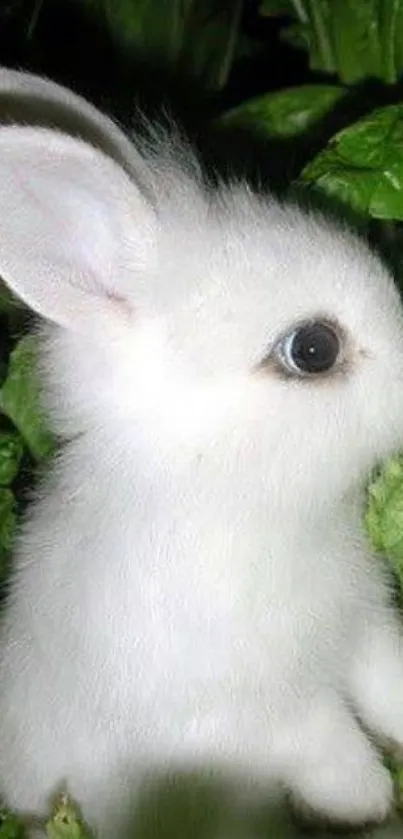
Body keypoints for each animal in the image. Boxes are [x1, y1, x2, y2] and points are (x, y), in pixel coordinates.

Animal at [0, 103, 403, 839]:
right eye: (313, 349)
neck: (222, 498)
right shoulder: (245, 709)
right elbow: (320, 738)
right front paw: (366, 800)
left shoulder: (361, 627)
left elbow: (385, 683)